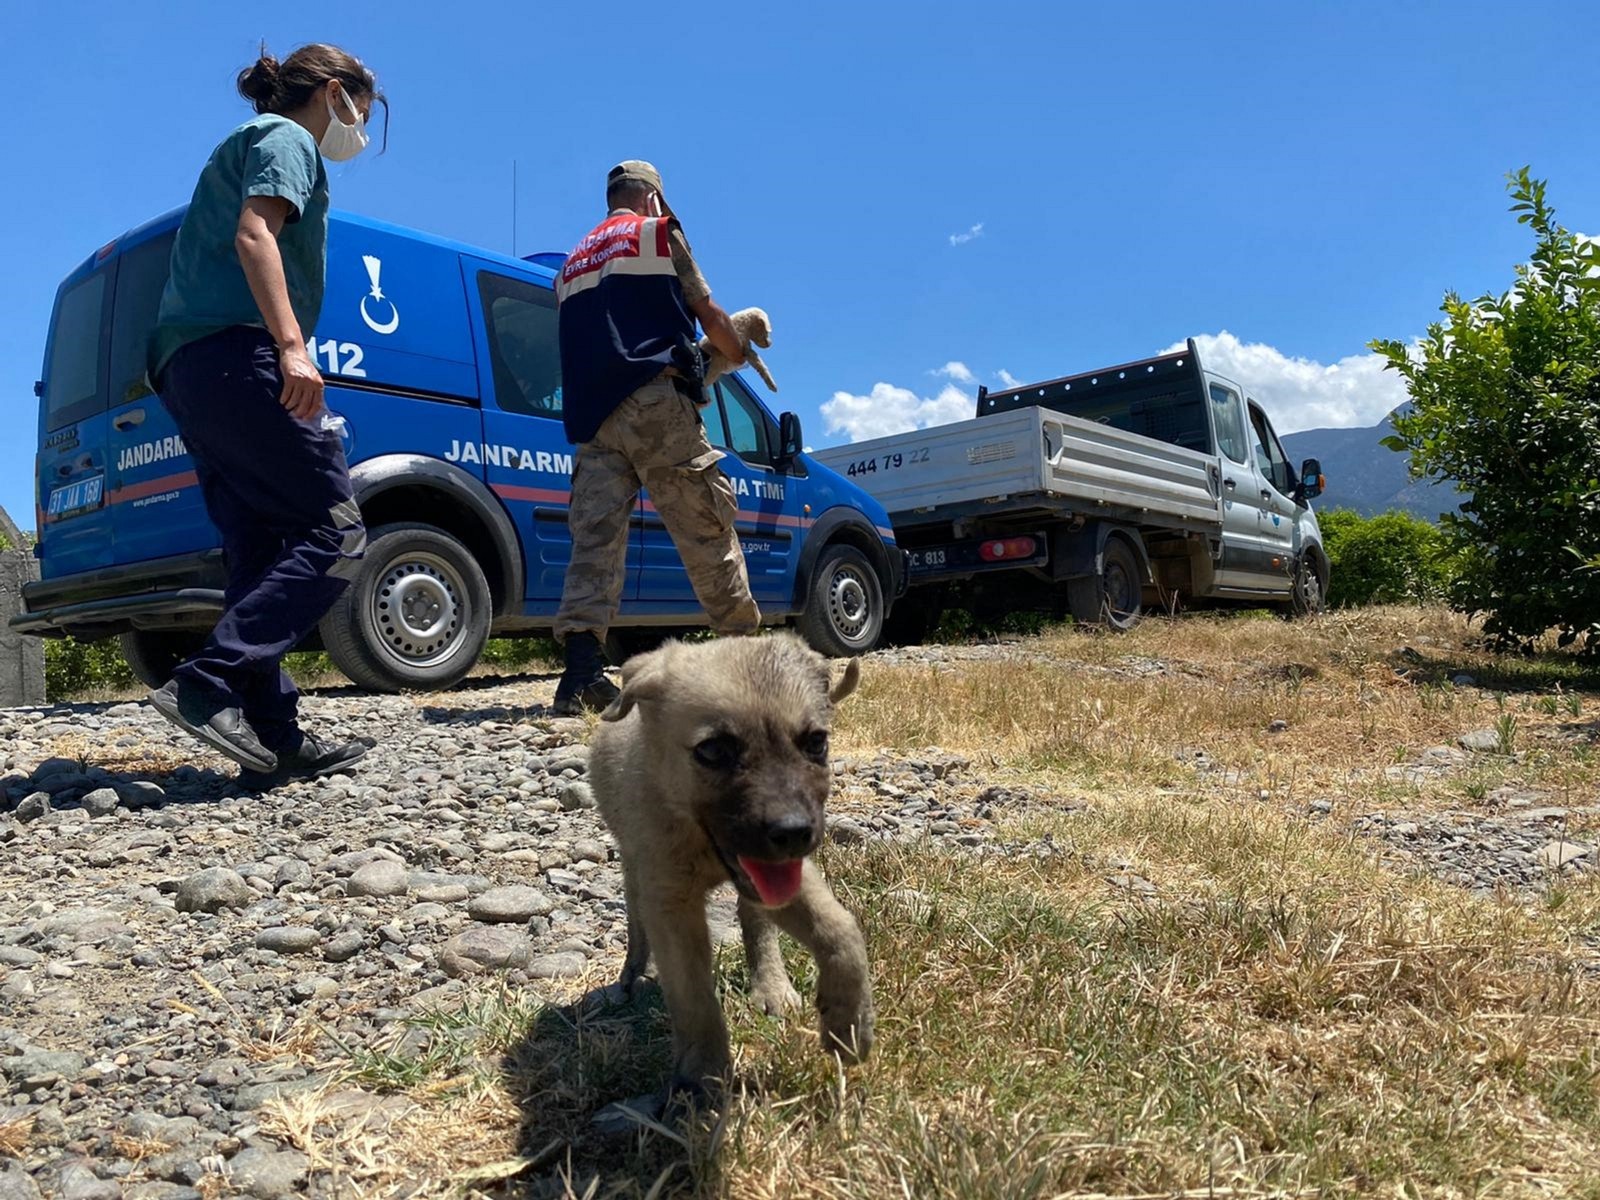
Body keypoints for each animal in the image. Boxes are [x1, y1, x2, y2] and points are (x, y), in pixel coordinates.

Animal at [588, 633, 870, 1107]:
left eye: (816, 743)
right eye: (713, 750)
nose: (793, 832)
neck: (701, 842)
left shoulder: (789, 876)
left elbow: (842, 929)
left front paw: (847, 1023)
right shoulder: (669, 900)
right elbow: (694, 998)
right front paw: (701, 1079)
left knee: (756, 924)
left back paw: (771, 986)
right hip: (632, 866)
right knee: (635, 918)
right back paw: (633, 971)